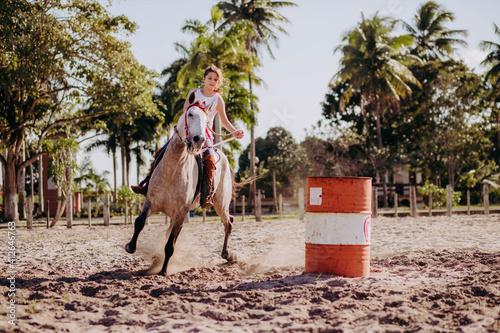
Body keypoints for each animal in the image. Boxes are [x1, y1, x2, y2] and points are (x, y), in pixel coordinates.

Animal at [124, 102, 235, 274]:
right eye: (190, 114)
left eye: (207, 122)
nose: (199, 139)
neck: (173, 170)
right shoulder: (151, 202)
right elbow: (140, 222)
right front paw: (130, 247)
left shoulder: (181, 213)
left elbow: (170, 245)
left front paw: (163, 271)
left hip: (221, 205)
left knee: (228, 222)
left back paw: (227, 254)